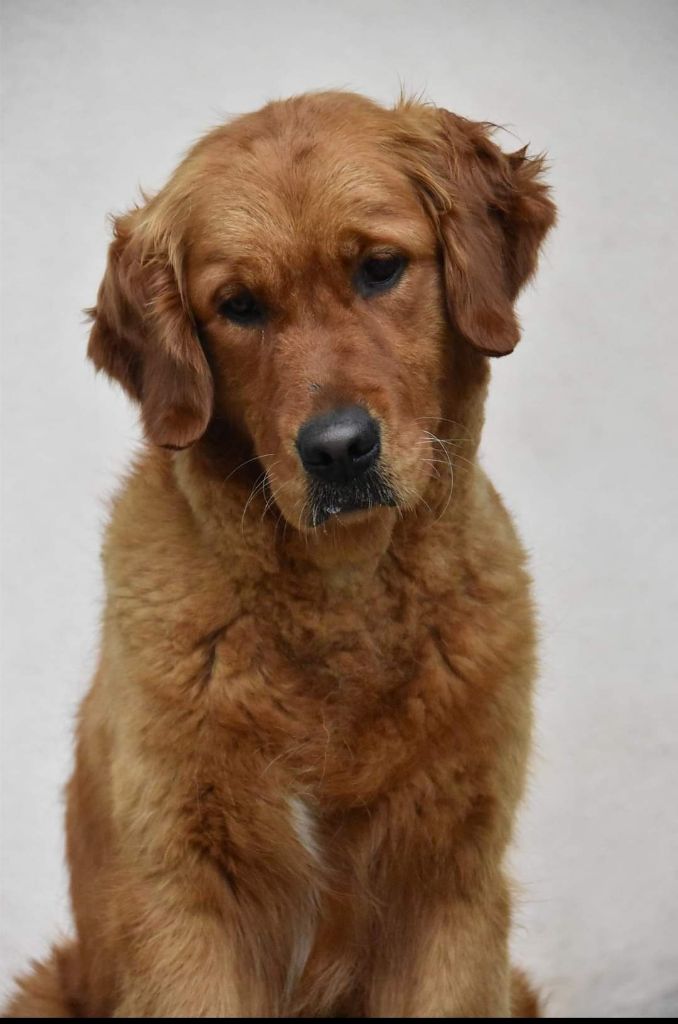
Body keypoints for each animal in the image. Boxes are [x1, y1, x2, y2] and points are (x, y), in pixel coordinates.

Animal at [5, 91, 555, 1017]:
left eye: (380, 267)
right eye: (238, 305)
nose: (337, 450)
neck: (343, 593)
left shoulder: (450, 888)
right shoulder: (188, 900)